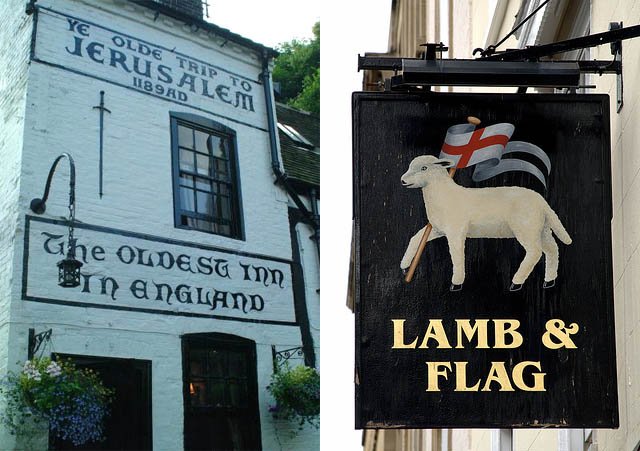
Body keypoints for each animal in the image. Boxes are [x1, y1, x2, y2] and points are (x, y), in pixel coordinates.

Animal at [402, 154, 572, 290]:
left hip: (526, 227)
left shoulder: (456, 231)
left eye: (424, 168)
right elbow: (415, 239)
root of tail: (542, 201)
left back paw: (516, 282)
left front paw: (456, 283)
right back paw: (549, 281)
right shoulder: (437, 229)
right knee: (552, 249)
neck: (443, 195)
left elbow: (456, 255)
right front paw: (405, 267)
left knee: (535, 252)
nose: (403, 181)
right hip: (541, 228)